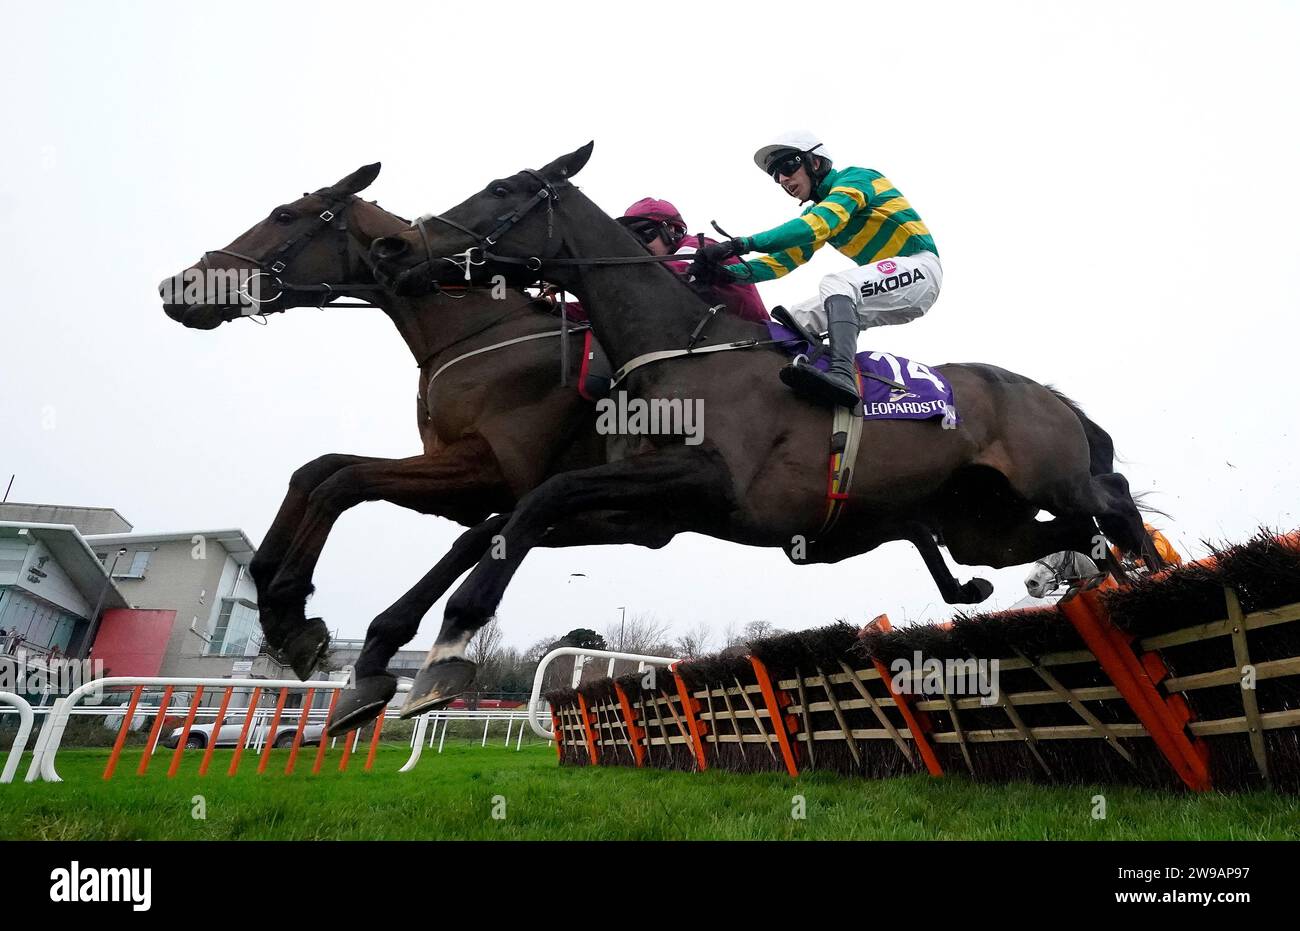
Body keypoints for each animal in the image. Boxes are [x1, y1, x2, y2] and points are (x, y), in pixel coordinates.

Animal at [364, 143, 1159, 712]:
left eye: (503, 189)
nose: (398, 248)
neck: (679, 350)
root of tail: (1047, 395)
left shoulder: (705, 481)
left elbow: (540, 497)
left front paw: (452, 640)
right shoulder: (651, 506)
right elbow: (507, 517)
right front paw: (384, 658)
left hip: (1051, 473)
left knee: (1113, 498)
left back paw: (1150, 572)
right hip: (983, 526)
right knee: (1066, 532)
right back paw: (1094, 573)